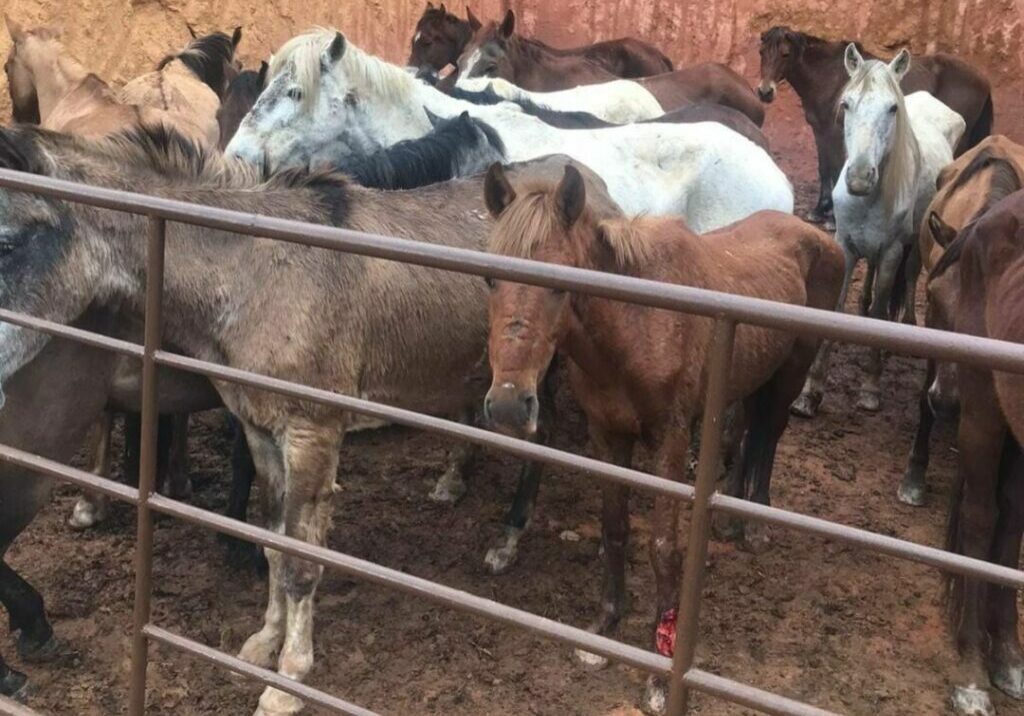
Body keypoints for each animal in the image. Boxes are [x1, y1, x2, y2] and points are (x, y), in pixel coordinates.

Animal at [0, 124, 624, 715]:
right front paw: (263, 644)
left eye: (7, 239)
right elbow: (276, 544)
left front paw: (288, 682)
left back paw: (508, 539)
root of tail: (591, 182)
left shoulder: (311, 432)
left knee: (540, 440)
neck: (258, 274)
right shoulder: (261, 431)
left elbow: (302, 561)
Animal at [481, 162, 843, 714]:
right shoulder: (608, 437)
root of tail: (815, 234)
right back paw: (733, 514)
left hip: (792, 372)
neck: (638, 326)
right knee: (750, 430)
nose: (507, 404)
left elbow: (663, 547)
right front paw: (604, 629)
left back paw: (757, 522)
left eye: (562, 282)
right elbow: (614, 529)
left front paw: (658, 673)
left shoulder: (671, 443)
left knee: (770, 433)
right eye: (488, 278)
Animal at [758, 26, 993, 225]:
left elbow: (835, 168)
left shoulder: (834, 133)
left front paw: (832, 217)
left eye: (785, 54)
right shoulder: (820, 131)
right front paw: (819, 210)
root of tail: (984, 79)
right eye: (761, 52)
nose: (765, 92)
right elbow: (823, 168)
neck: (828, 78)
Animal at [791, 47, 965, 418]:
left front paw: (870, 388)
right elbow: (835, 310)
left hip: (917, 243)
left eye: (892, 108)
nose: (859, 178)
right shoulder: (845, 245)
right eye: (846, 104)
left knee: (910, 276)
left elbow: (880, 311)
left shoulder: (891, 252)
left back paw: (906, 327)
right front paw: (810, 393)